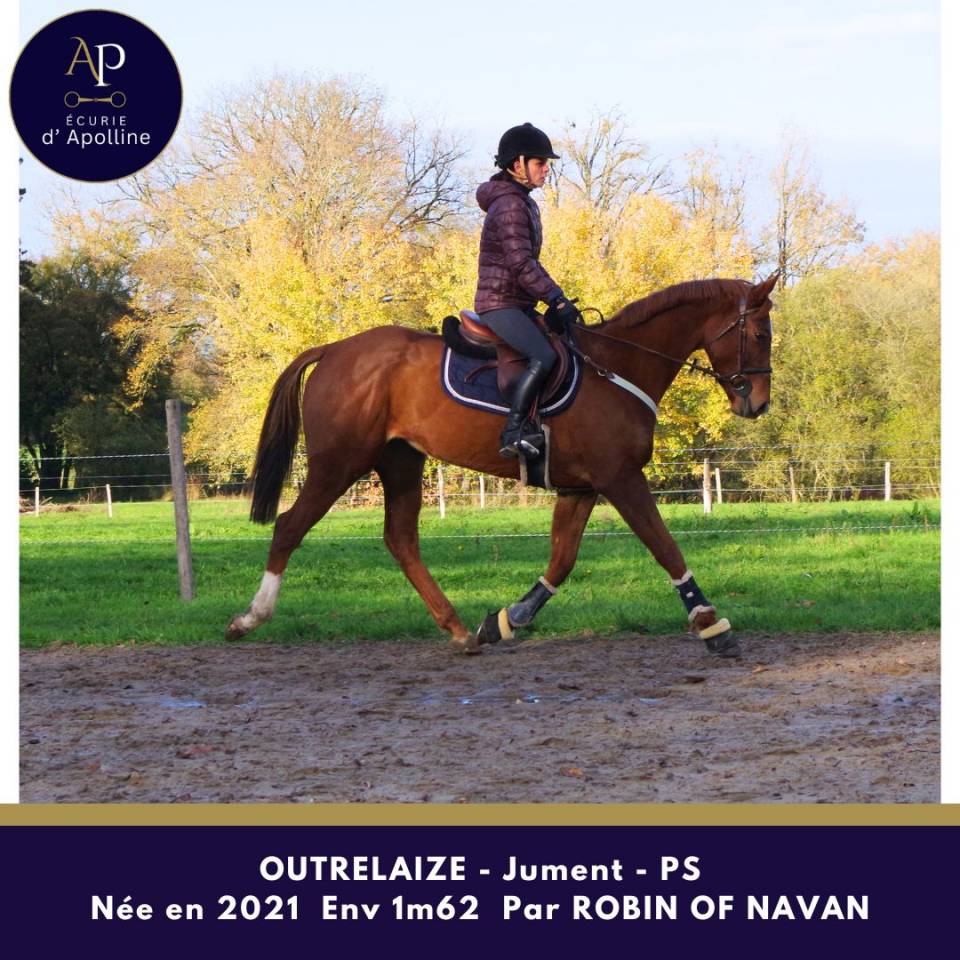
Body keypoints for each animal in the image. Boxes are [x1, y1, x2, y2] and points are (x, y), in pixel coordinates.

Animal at [226, 273, 778, 657]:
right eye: (759, 333)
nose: (757, 403)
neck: (618, 366)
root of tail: (335, 349)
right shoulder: (621, 479)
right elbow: (665, 548)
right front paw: (711, 624)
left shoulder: (580, 488)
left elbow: (562, 561)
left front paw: (507, 619)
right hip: (339, 462)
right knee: (290, 527)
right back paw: (250, 618)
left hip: (400, 462)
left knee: (401, 540)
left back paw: (458, 630)